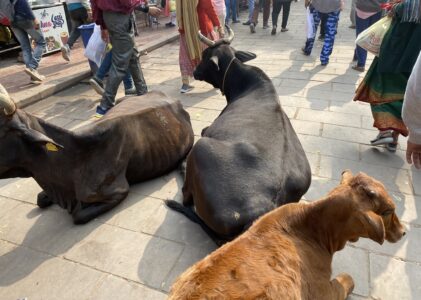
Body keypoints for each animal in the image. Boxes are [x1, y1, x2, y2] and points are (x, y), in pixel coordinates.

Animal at [166, 28, 310, 244]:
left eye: (205, 55)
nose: (195, 72)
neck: (246, 84)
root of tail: (264, 210)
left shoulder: (207, 130)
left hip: (201, 148)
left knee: (185, 197)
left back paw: (181, 167)